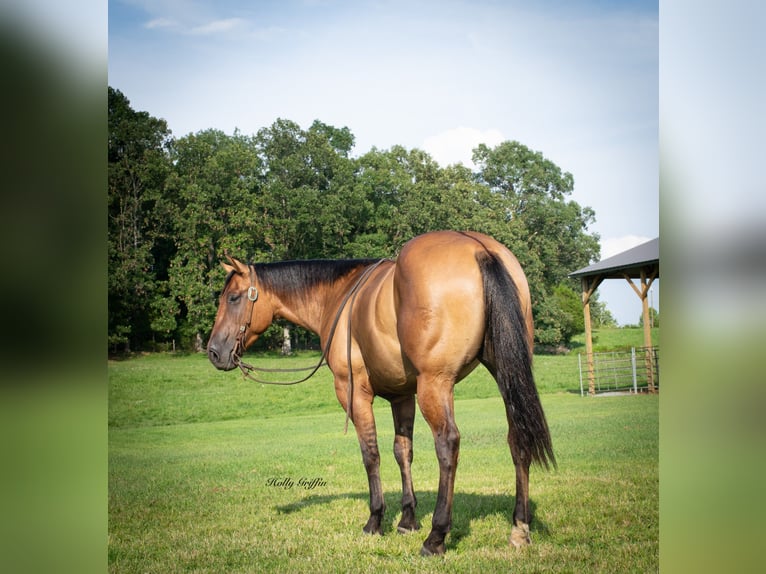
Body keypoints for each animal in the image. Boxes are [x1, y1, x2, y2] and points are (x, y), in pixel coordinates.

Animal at [208, 230, 560, 560]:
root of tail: (479, 248)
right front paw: (407, 519)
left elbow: (371, 453)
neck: (338, 296)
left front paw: (375, 521)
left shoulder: (353, 392)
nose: (214, 352)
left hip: (435, 385)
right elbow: (402, 451)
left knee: (447, 444)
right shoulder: (402, 396)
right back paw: (519, 528)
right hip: (505, 373)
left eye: (234, 298)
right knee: (517, 438)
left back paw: (436, 537)